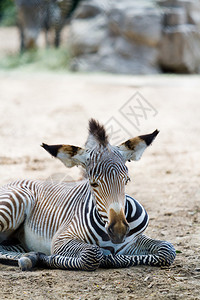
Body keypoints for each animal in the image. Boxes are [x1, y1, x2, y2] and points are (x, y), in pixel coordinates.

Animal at [0, 120, 175, 272]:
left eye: (127, 180)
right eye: (93, 183)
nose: (119, 231)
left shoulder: (134, 241)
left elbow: (167, 250)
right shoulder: (61, 240)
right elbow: (92, 254)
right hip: (14, 202)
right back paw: (30, 258)